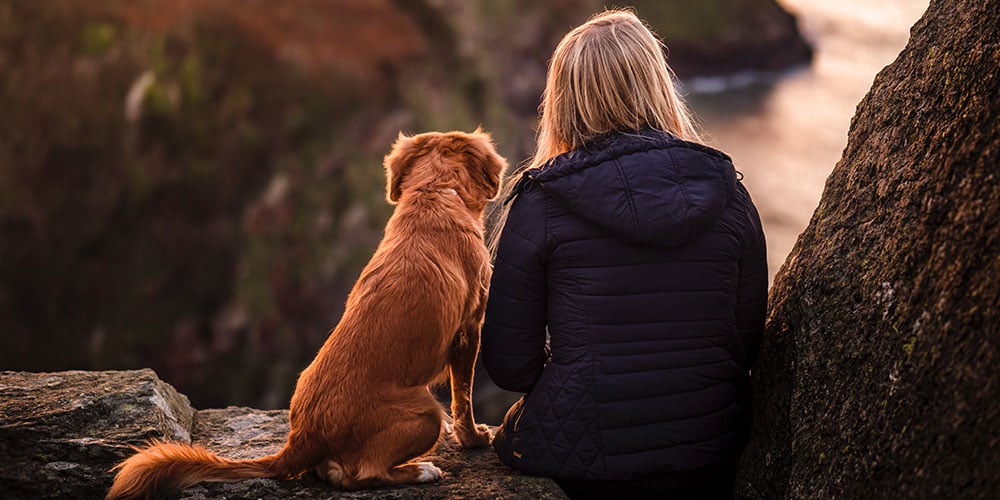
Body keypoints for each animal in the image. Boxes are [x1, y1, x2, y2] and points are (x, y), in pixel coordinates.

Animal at [107, 130, 508, 500]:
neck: (435, 193)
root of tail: (302, 438)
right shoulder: (470, 329)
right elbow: (464, 396)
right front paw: (475, 439)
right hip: (425, 412)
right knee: (362, 474)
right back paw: (420, 470)